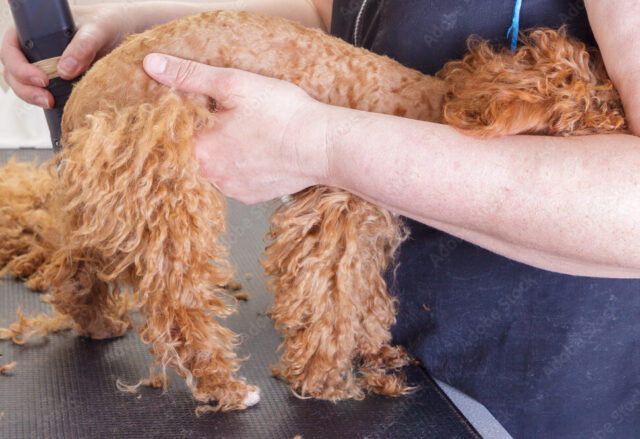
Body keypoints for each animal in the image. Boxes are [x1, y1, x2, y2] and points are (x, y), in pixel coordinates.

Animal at [0, 11, 624, 412]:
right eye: (588, 112)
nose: (623, 122)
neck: (423, 105)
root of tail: (83, 94)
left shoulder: (365, 219)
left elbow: (365, 294)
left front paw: (373, 350)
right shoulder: (334, 213)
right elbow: (330, 298)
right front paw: (323, 378)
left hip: (110, 197)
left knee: (77, 263)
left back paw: (98, 322)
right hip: (163, 187)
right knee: (177, 303)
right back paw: (224, 388)